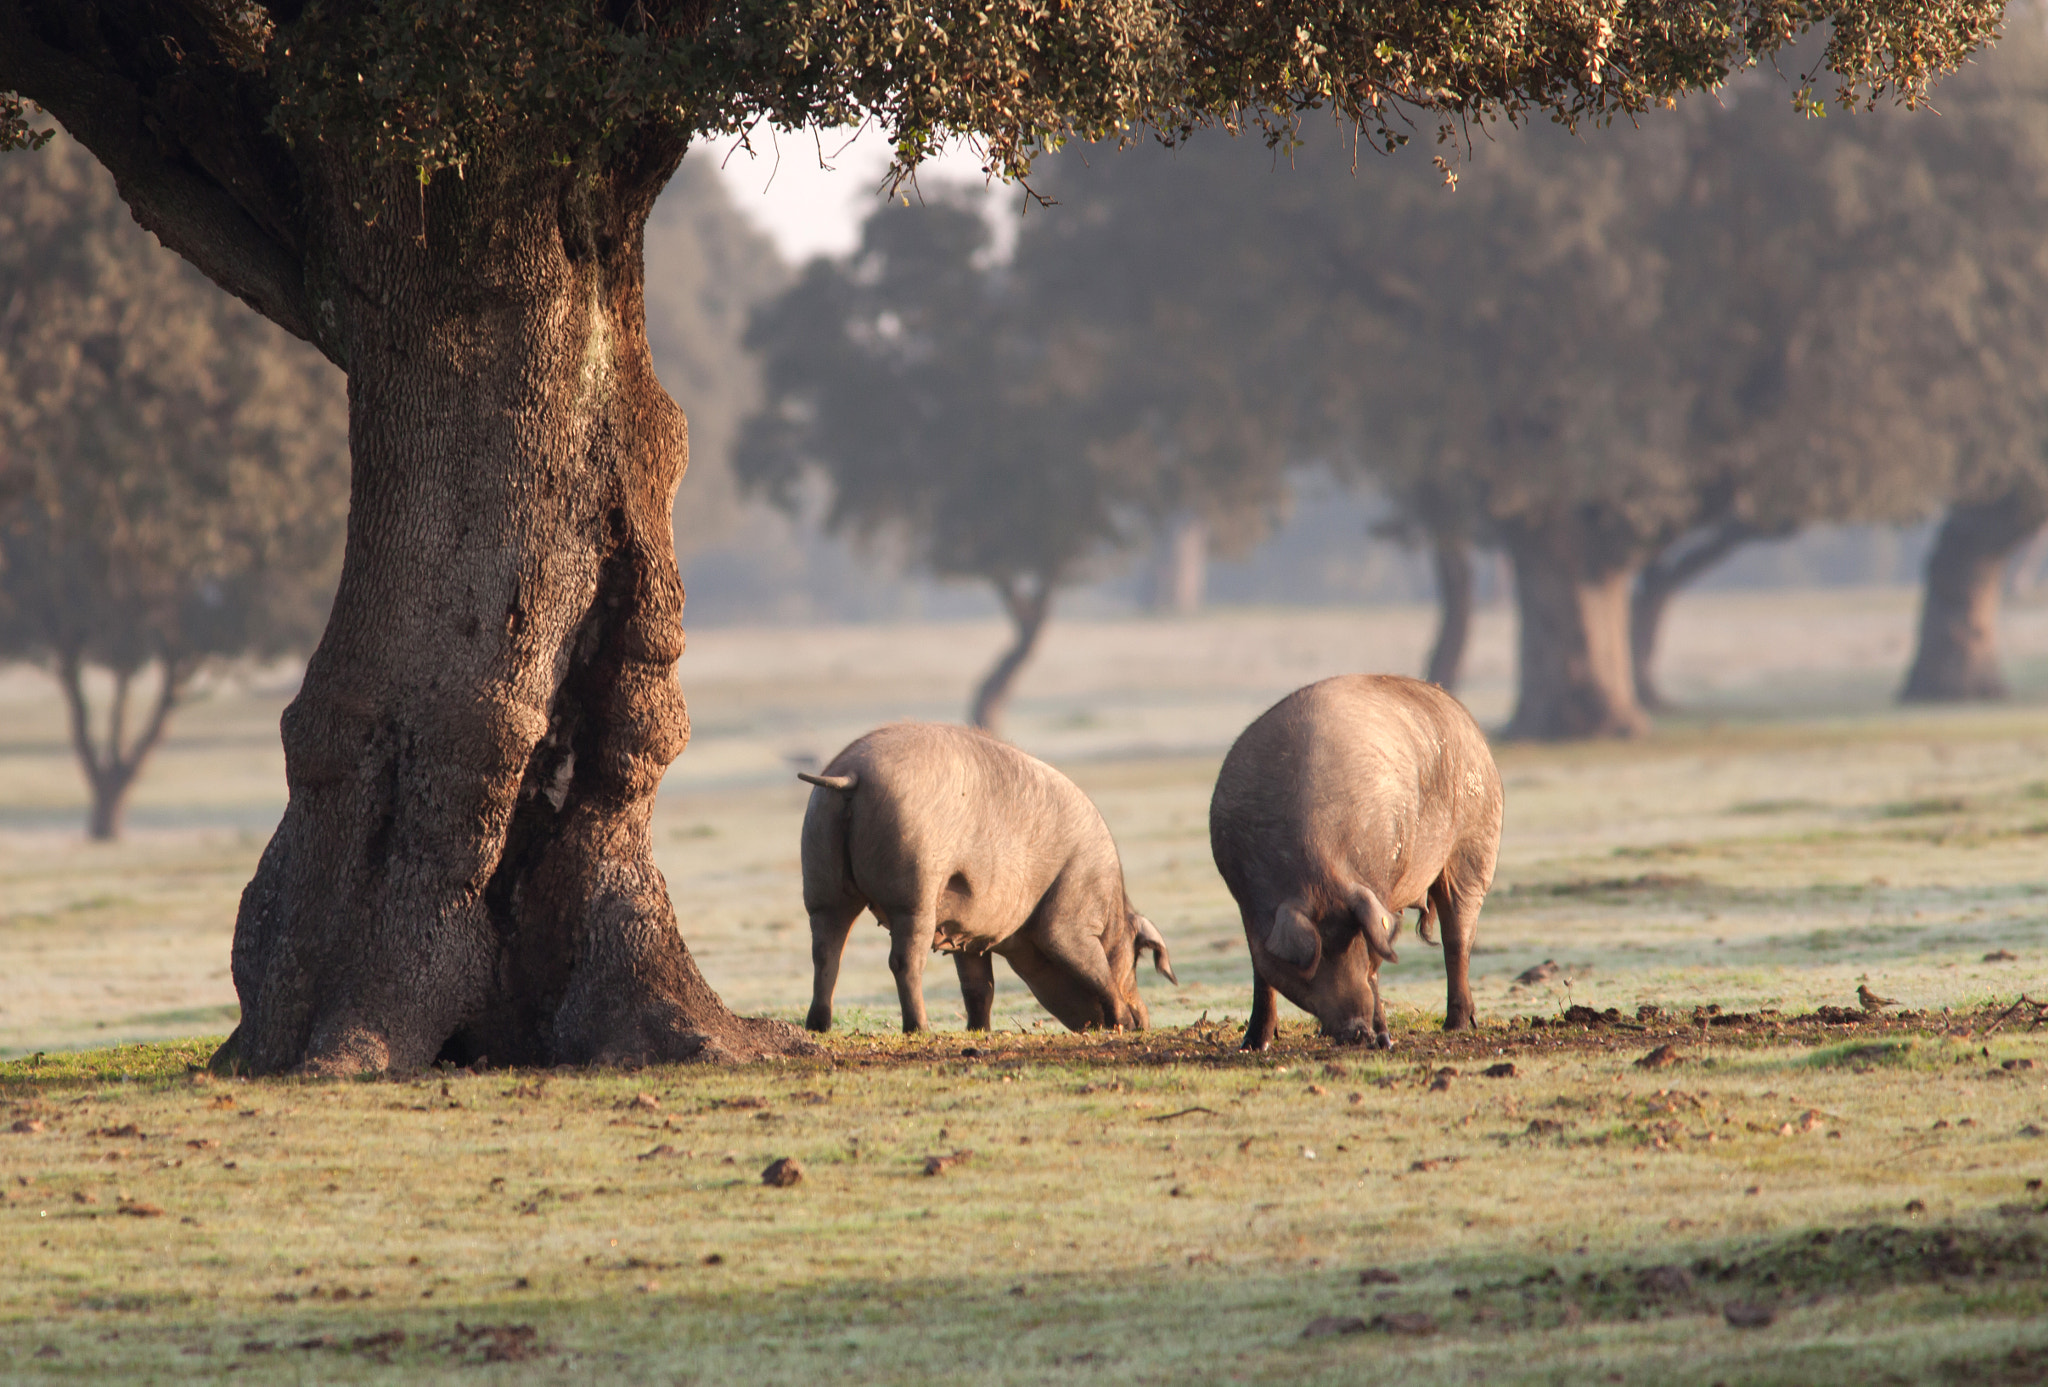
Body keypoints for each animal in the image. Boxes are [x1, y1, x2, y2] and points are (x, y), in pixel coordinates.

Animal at [802, 721, 1187, 1032]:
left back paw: (818, 1026)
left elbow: (979, 986)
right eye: (1135, 956)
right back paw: (919, 1029)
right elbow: (1094, 968)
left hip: (821, 880)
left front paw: (979, 1031)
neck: (1111, 909)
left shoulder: (965, 932)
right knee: (903, 960)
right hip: (913, 891)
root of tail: (852, 773)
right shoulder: (1070, 920)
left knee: (825, 952)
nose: (1144, 1022)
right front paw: (1122, 1024)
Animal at [1196, 671, 1507, 1048]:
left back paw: (1458, 1026)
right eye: (1314, 963)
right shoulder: (1248, 905)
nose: (1356, 1031)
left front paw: (1384, 1038)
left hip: (1477, 840)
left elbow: (1376, 968)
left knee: (1457, 937)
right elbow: (1262, 975)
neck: (1318, 875)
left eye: (1356, 945)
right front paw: (1254, 1045)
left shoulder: (1376, 892)